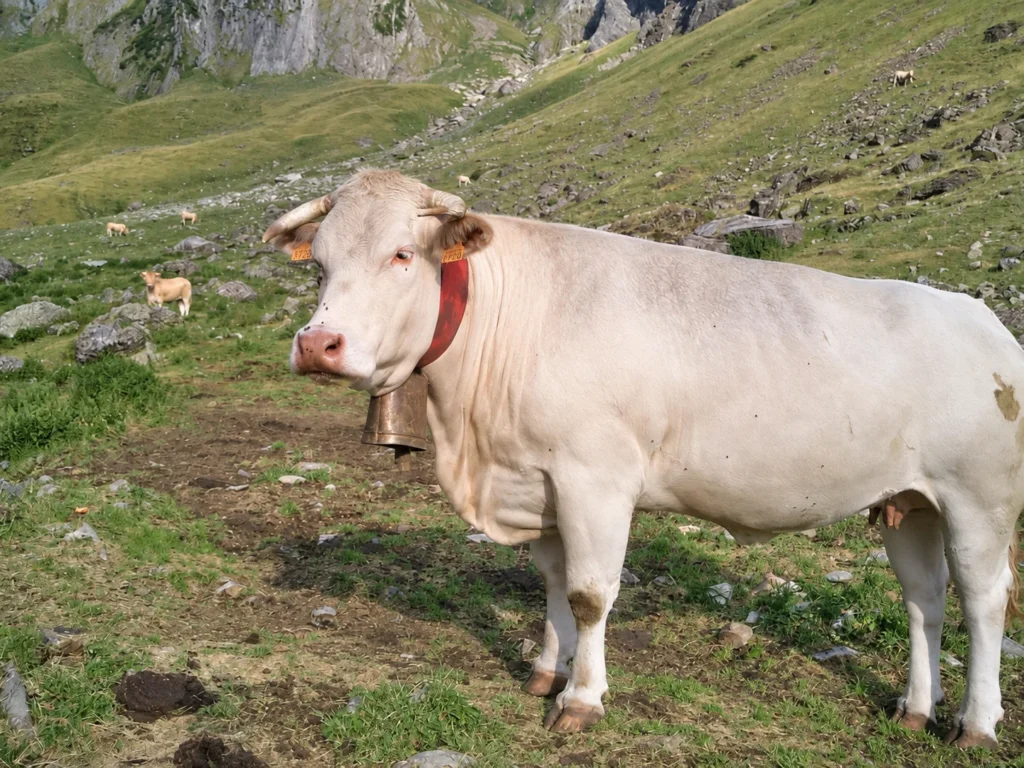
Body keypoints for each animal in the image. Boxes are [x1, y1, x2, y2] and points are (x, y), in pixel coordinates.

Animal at [262, 169, 1024, 748]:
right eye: (320, 264)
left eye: (401, 255)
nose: (317, 344)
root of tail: (983, 321)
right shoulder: (541, 481)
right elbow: (551, 582)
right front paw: (546, 670)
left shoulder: (594, 477)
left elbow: (590, 594)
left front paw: (581, 699)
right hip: (911, 501)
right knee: (924, 600)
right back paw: (915, 710)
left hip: (979, 497)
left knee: (984, 601)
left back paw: (976, 725)